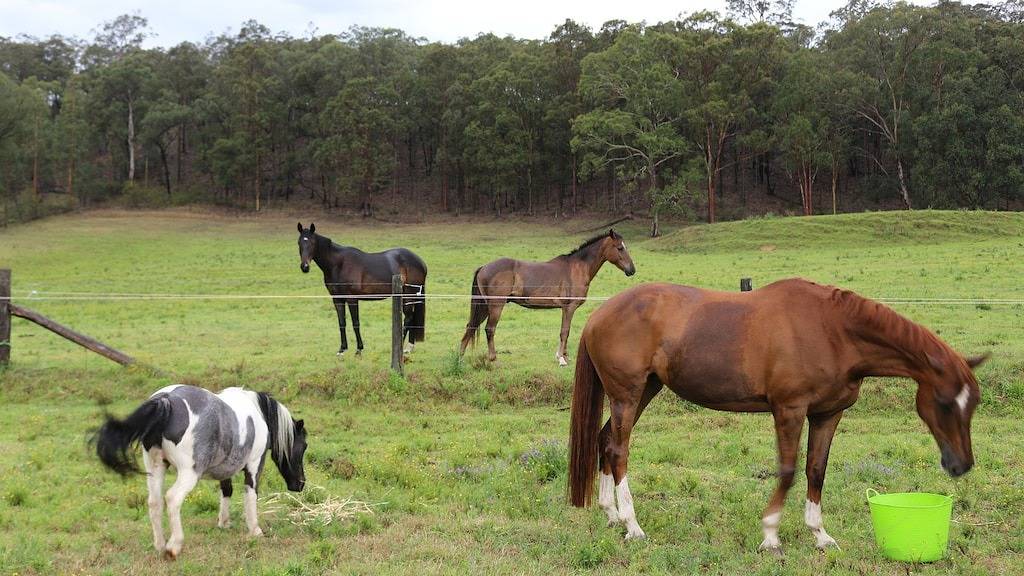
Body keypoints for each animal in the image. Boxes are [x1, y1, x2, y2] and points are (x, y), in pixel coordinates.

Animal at [94, 385, 308, 560]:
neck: (257, 413)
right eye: (303, 446)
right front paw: (255, 530)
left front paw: (224, 523)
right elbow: (251, 495)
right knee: (172, 498)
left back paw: (161, 545)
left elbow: (227, 491)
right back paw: (173, 546)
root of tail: (166, 399)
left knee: (154, 503)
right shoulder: (254, 465)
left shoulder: (226, 468)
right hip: (188, 474)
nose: (300, 484)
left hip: (155, 468)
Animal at [297, 222, 427, 355]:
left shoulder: (352, 299)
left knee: (408, 318)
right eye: (299, 243)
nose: (305, 267)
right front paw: (342, 349)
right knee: (411, 318)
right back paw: (409, 347)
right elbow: (342, 323)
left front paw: (359, 349)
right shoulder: (337, 299)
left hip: (408, 296)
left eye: (312, 243)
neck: (338, 264)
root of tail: (421, 262)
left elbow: (356, 323)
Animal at [458, 229, 636, 366]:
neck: (577, 268)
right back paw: (493, 359)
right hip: (496, 306)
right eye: (619, 248)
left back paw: (460, 359)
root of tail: (484, 267)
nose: (632, 270)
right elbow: (565, 332)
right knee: (490, 329)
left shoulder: (565, 309)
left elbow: (565, 331)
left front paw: (564, 356)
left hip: (484, 306)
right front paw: (562, 360)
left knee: (471, 326)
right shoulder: (569, 307)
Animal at [568, 279, 987, 553]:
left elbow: (816, 471)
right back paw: (632, 525)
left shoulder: (827, 414)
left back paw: (611, 514)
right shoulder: (790, 409)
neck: (833, 330)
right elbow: (787, 470)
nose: (961, 464)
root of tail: (599, 313)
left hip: (645, 391)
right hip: (627, 394)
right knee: (619, 450)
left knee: (605, 440)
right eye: (945, 403)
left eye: (974, 403)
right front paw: (770, 534)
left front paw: (820, 535)